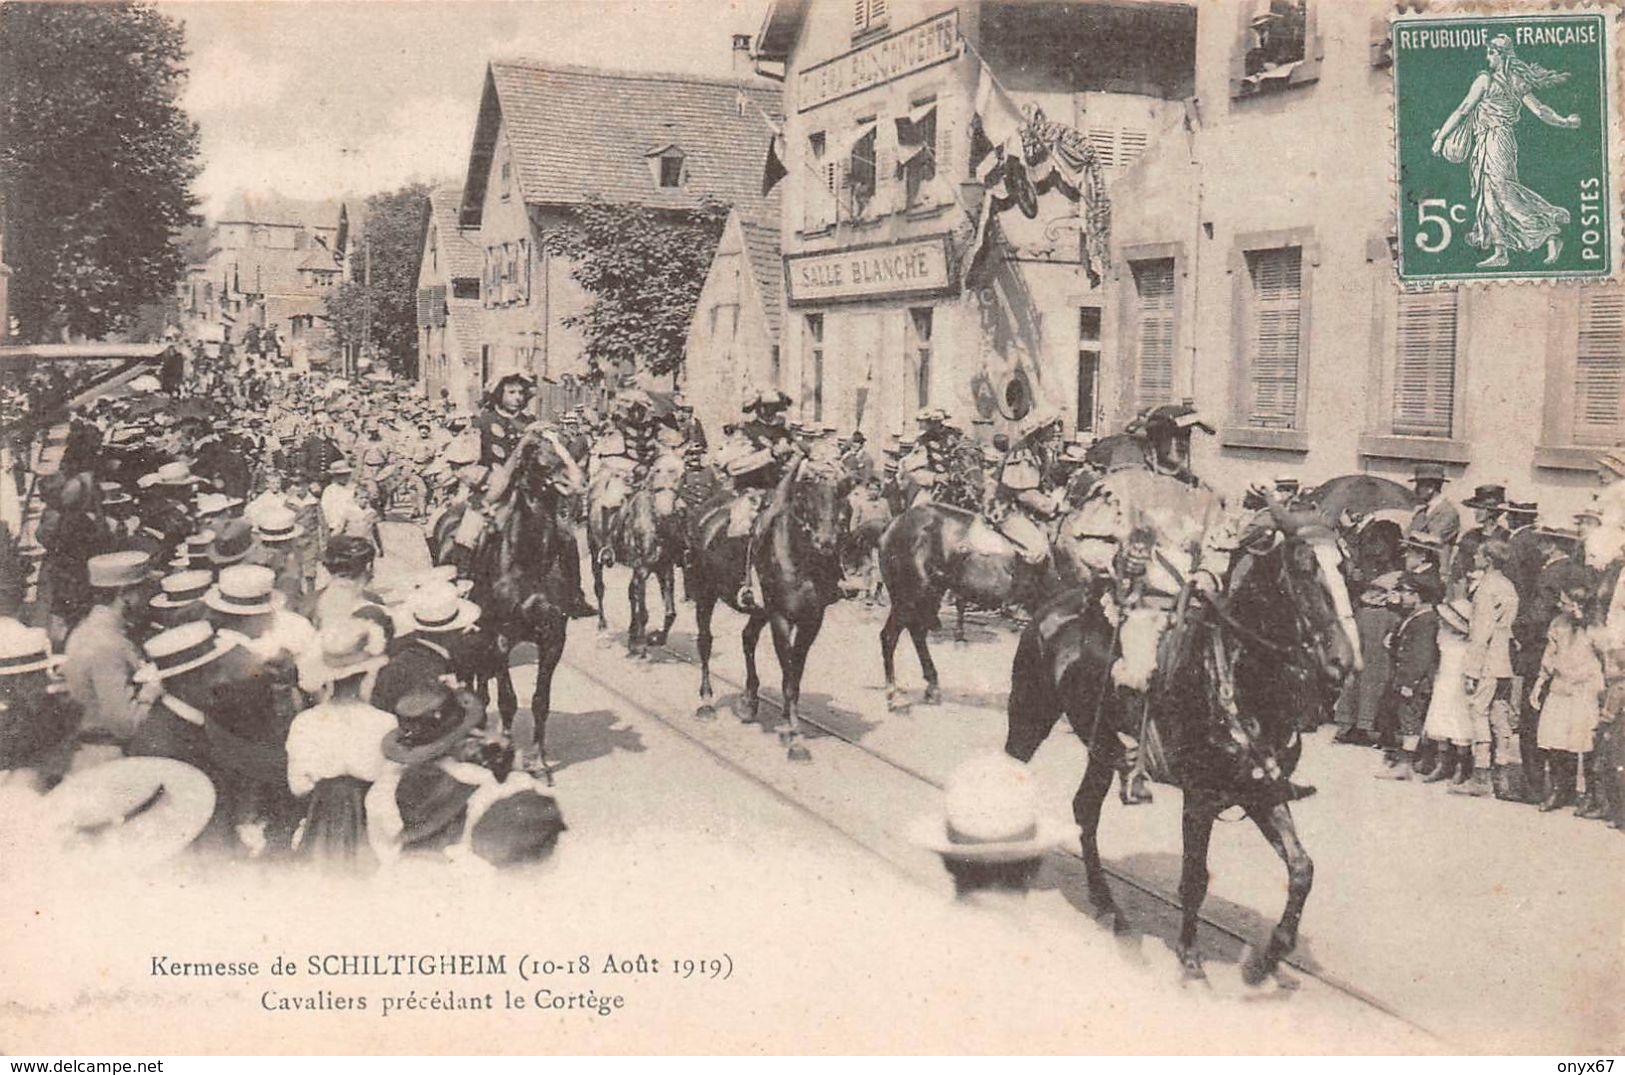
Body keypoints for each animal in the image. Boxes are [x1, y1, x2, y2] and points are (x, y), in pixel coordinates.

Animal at [432, 422, 585, 782]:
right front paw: (506, 752)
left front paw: (538, 762)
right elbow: (508, 700)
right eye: (536, 450)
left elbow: (541, 701)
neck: (528, 558)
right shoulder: (501, 638)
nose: (576, 479)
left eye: (567, 442)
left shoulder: (553, 638)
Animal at [689, 457, 858, 763]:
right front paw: (795, 739)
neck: (801, 561)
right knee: (705, 641)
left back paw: (748, 701)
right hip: (705, 592)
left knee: (748, 638)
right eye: (806, 498)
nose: (826, 543)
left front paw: (787, 723)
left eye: (843, 501)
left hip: (759, 612)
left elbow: (795, 674)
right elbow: (789, 677)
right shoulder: (781, 617)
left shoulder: (811, 620)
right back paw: (706, 702)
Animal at [1001, 513, 1358, 987]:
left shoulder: (1261, 792)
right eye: (1303, 570)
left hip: (1100, 744)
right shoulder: (1200, 798)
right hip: (1029, 716)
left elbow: (1302, 868)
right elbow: (1194, 879)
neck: (1239, 679)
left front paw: (1271, 955)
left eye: (1349, 570)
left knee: (1085, 809)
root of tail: (1053, 604)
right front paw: (1190, 962)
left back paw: (1109, 907)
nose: (1343, 663)